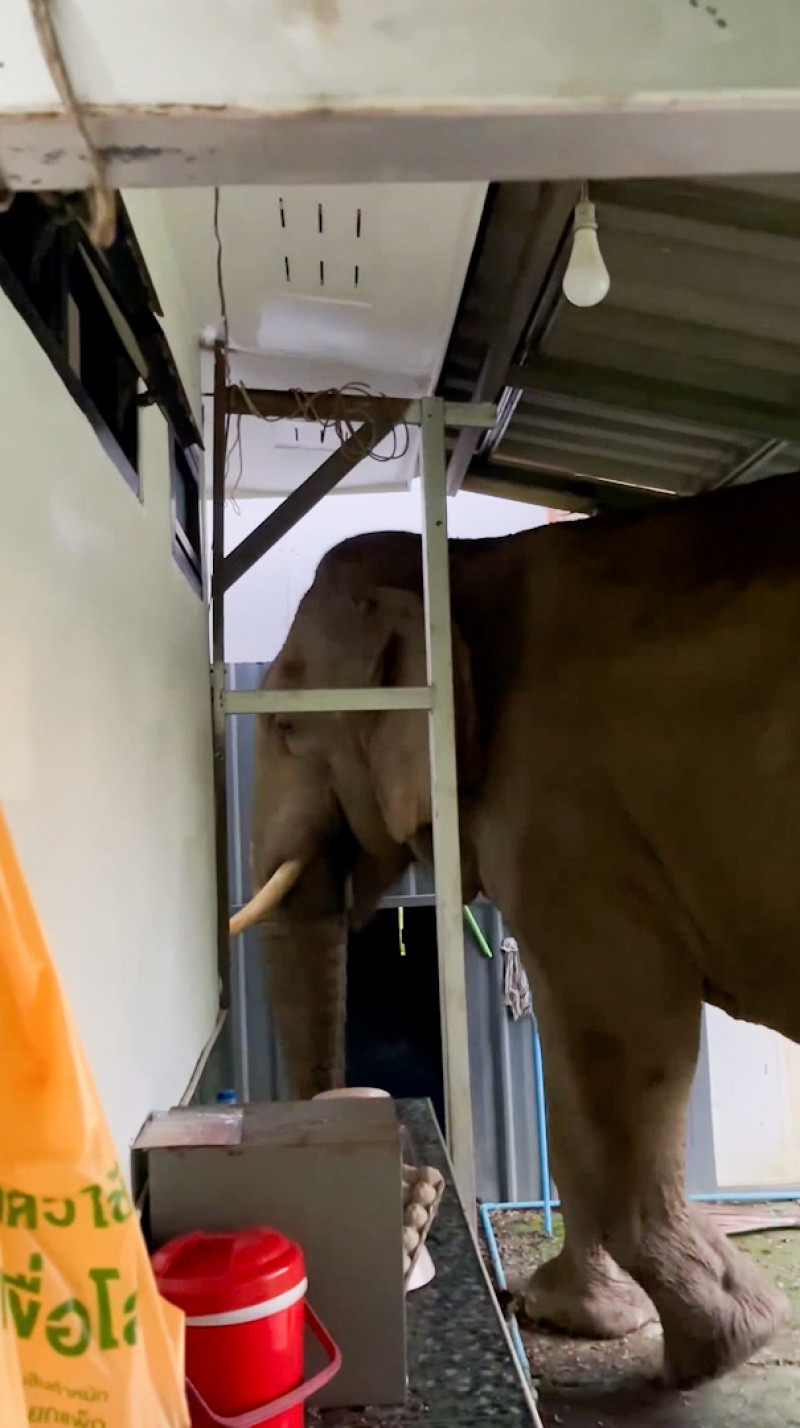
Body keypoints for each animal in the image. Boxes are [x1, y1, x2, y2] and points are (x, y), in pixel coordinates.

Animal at [231, 468, 800, 1382]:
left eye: (286, 724)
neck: (460, 565)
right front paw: (573, 1314)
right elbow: (575, 1077)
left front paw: (722, 1347)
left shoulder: (566, 811)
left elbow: (623, 1041)